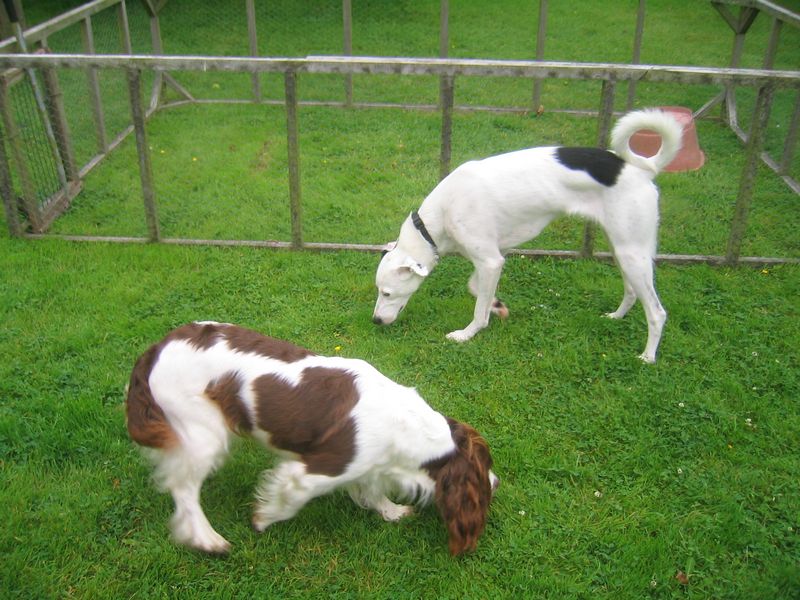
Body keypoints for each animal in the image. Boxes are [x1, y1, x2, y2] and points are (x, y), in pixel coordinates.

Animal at [126, 321, 498, 555]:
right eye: (486, 469)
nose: (496, 482)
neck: (408, 425)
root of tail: (155, 348)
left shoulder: (368, 463)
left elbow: (373, 489)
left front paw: (391, 512)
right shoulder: (318, 470)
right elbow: (289, 500)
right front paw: (262, 520)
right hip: (204, 436)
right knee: (183, 488)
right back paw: (208, 539)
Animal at [373, 109, 683, 363]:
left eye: (386, 292)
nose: (375, 320)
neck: (436, 219)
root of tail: (641, 169)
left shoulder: (490, 261)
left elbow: (477, 310)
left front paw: (468, 333)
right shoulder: (496, 256)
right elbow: (476, 288)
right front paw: (496, 306)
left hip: (633, 252)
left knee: (657, 312)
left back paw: (647, 357)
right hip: (620, 246)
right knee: (631, 291)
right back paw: (616, 317)